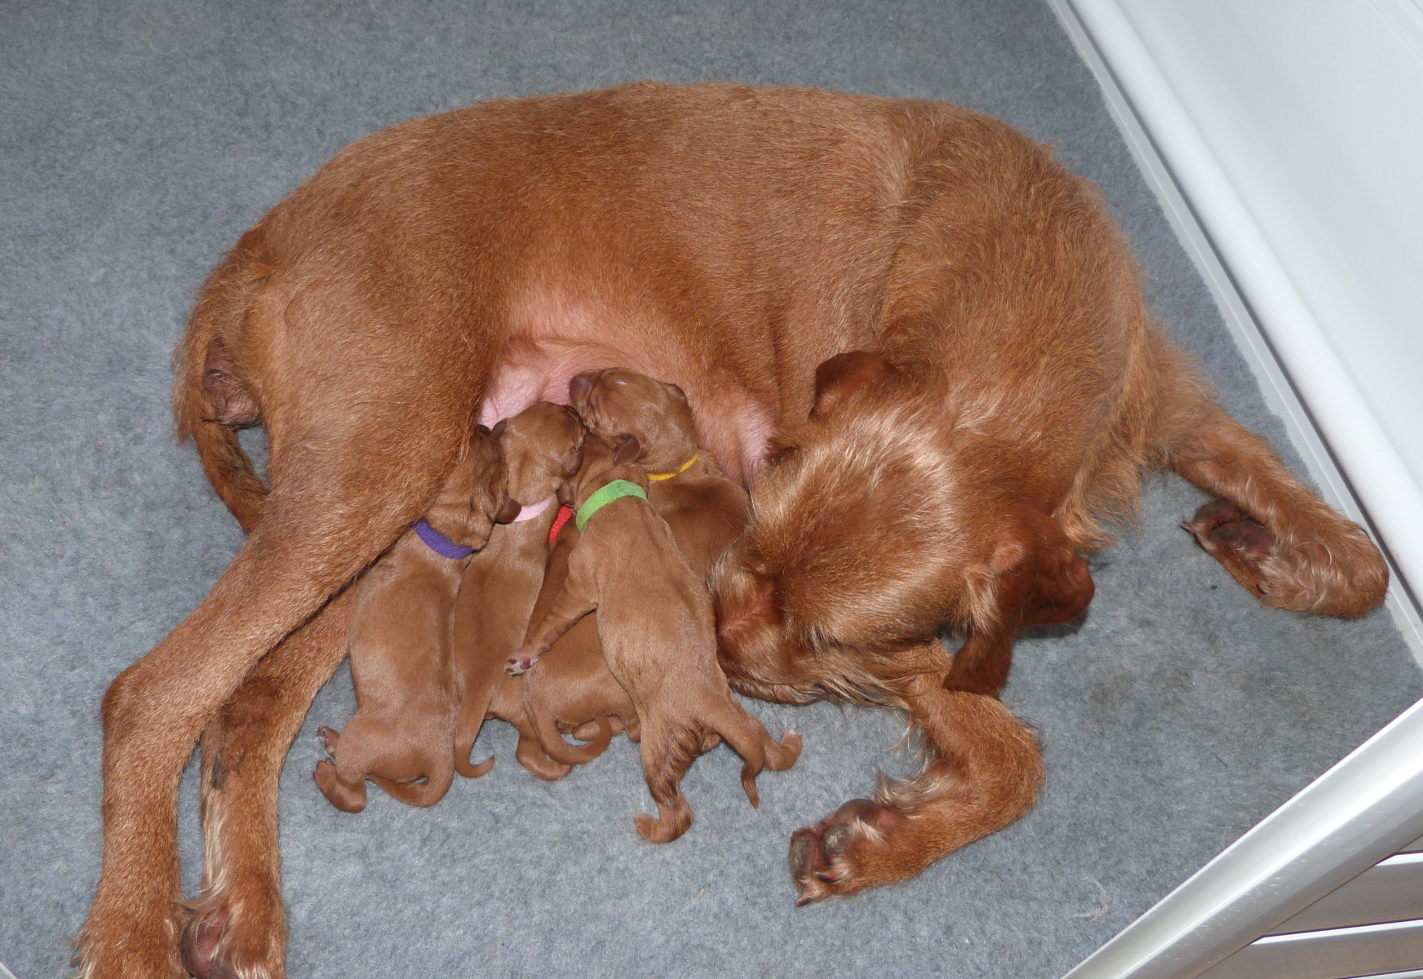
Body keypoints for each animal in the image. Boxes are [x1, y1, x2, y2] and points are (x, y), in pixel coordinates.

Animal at [309, 427, 517, 813]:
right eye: (489, 445)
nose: (482, 426)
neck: (444, 544)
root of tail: (441, 760)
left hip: (361, 738)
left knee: (354, 796)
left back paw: (326, 770)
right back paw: (332, 741)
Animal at [509, 433, 801, 843]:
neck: (619, 494)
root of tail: (713, 704)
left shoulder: (579, 588)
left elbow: (549, 624)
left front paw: (525, 654)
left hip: (655, 745)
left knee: (675, 809)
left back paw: (649, 826)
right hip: (745, 724)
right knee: (771, 753)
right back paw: (788, 743)